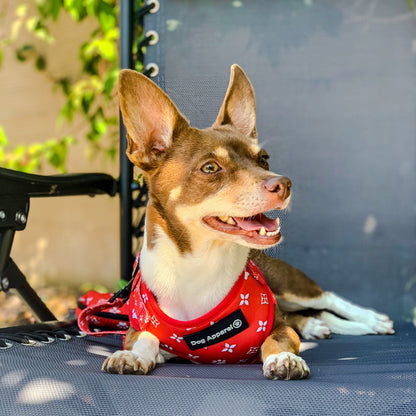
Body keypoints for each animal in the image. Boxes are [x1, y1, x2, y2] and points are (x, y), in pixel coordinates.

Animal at [102, 65, 394, 380]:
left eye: (263, 159)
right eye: (210, 168)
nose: (284, 183)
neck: (200, 267)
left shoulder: (279, 328)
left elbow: (276, 339)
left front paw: (283, 358)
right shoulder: (138, 329)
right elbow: (144, 338)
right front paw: (130, 355)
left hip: (287, 284)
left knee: (325, 300)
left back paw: (372, 320)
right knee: (311, 314)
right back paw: (317, 326)